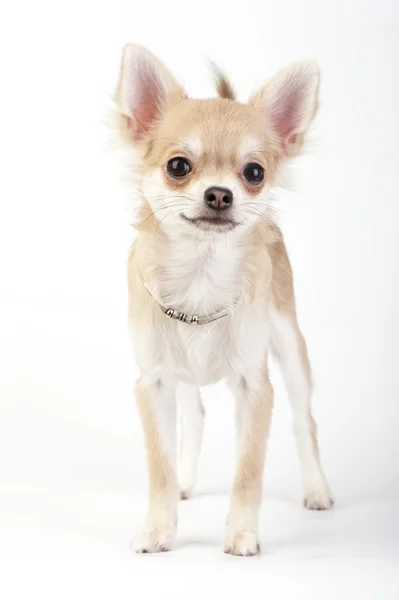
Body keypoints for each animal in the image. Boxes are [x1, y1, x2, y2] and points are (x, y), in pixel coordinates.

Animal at [116, 44, 334, 556]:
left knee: (304, 422)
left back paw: (316, 489)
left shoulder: (256, 388)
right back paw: (185, 481)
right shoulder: (154, 382)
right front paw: (159, 528)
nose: (219, 194)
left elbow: (248, 470)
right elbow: (159, 464)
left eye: (254, 173)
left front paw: (241, 534)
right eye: (178, 166)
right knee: (194, 415)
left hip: (290, 345)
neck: (200, 274)